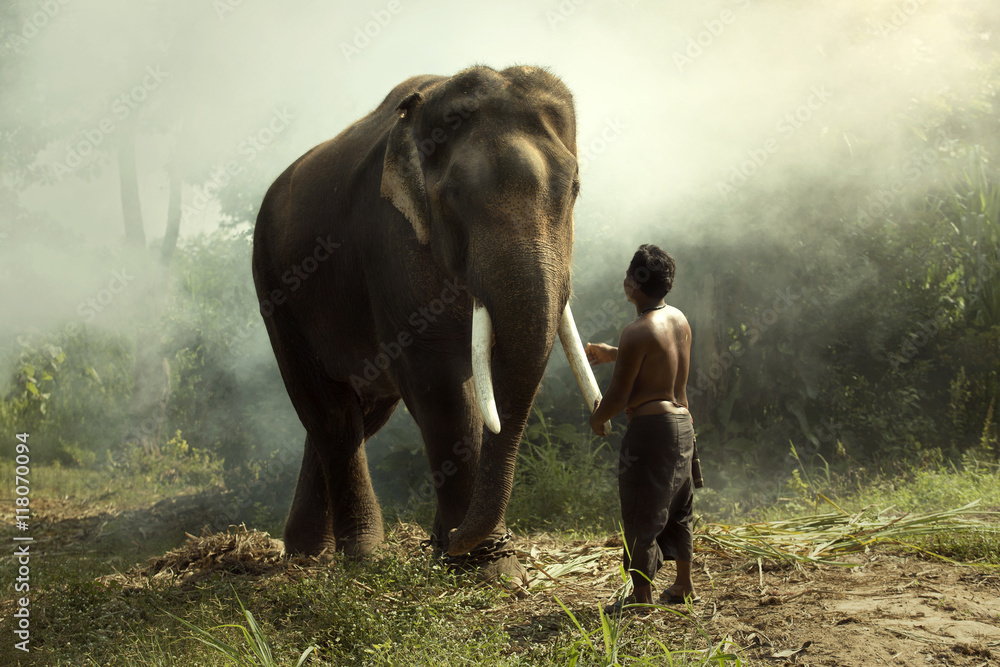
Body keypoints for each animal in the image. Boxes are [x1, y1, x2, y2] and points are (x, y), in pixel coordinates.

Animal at [252, 65, 605, 582]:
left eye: (576, 188)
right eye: (454, 196)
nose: (441, 539)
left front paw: (462, 552)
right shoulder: (390, 242)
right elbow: (439, 386)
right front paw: (484, 564)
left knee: (357, 413)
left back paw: (305, 553)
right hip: (275, 291)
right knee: (329, 412)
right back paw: (361, 554)